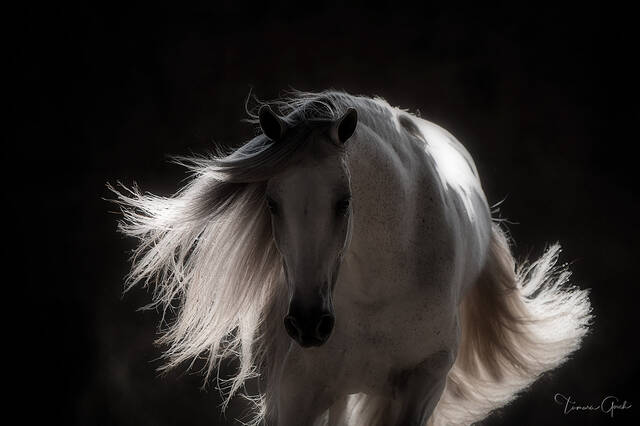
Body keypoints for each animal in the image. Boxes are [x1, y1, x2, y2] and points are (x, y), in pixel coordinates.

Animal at [111, 90, 596, 426]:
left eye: (344, 202)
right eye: (272, 203)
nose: (308, 324)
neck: (378, 291)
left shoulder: (422, 386)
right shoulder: (296, 396)